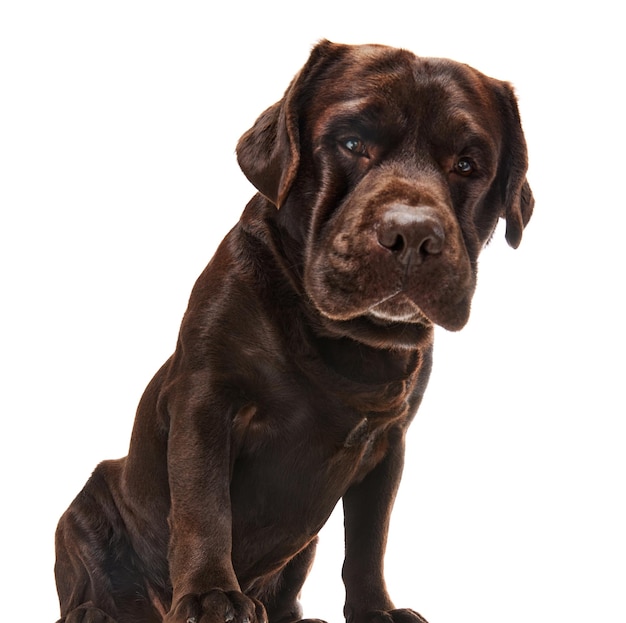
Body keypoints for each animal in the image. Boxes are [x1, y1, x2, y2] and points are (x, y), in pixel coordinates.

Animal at [54, 41, 532, 623]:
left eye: (466, 164)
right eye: (352, 143)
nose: (413, 232)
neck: (349, 343)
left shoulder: (387, 447)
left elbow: (369, 538)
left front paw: (376, 608)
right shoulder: (205, 405)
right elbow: (203, 508)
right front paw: (210, 596)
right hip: (87, 506)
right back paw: (95, 611)